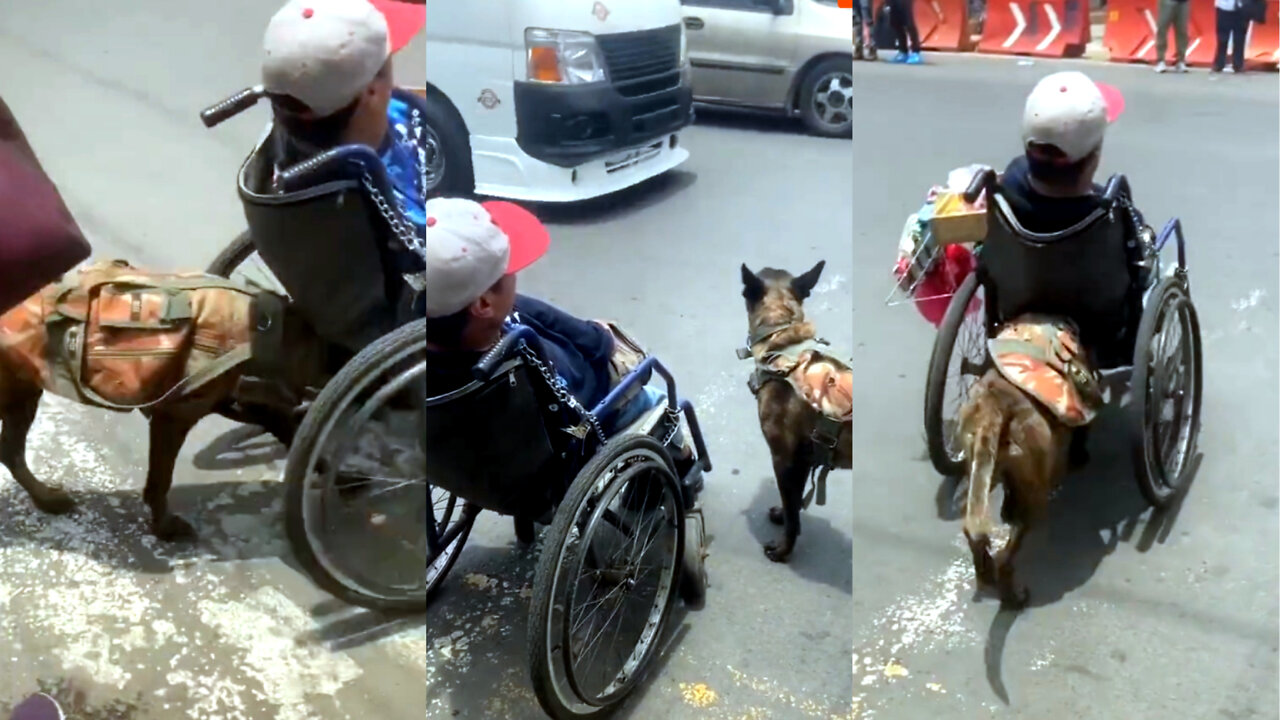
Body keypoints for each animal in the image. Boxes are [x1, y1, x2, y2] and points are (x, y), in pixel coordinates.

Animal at [0, 257, 332, 538]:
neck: (265, 327)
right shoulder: (174, 418)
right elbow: (161, 481)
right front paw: (164, 526)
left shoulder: (231, 400)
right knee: (11, 450)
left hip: (22, 392)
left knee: (10, 451)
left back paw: (45, 498)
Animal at [742, 258, 849, 561]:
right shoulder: (804, 457)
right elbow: (793, 500)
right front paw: (782, 513)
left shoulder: (785, 458)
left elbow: (792, 511)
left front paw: (783, 549)